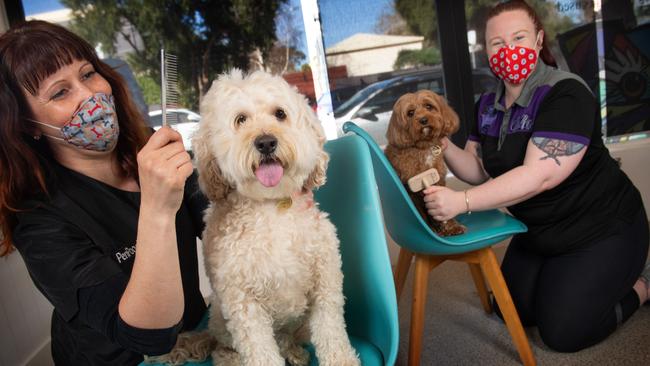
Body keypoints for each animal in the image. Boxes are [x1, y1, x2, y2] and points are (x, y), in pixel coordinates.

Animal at [191, 69, 360, 366]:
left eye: (280, 114)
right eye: (241, 119)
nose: (266, 142)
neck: (271, 206)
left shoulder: (325, 280)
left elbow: (331, 332)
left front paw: (341, 360)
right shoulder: (243, 305)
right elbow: (261, 350)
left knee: (286, 338)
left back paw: (294, 351)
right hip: (220, 322)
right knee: (224, 350)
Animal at [382, 90, 464, 236]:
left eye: (429, 106)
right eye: (410, 113)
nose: (423, 120)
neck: (424, 147)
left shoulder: (438, 181)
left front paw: (451, 227)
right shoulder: (413, 191)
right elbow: (422, 216)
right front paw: (435, 229)